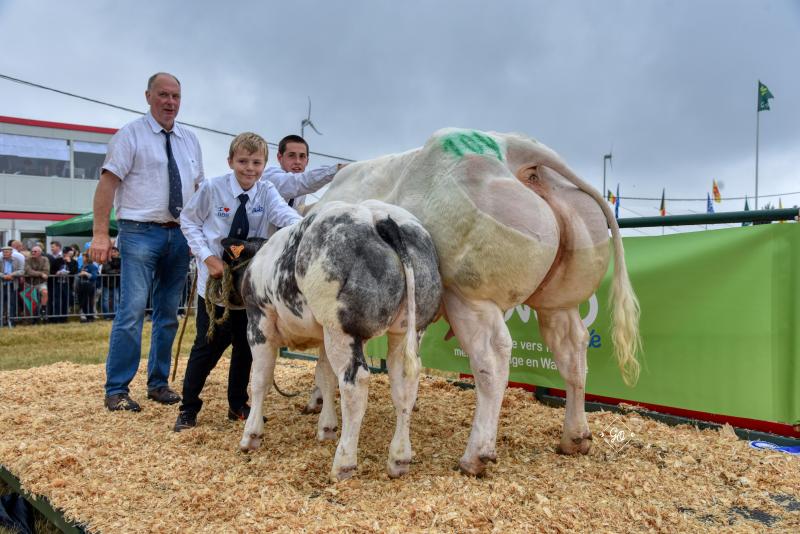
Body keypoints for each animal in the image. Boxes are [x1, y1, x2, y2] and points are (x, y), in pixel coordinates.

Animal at [231, 200, 444, 482]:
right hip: (407, 329)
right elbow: (325, 378)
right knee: (404, 383)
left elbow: (260, 380)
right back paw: (399, 458)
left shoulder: (259, 320)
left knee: (356, 383)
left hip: (343, 330)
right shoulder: (323, 336)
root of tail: (380, 218)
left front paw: (251, 435)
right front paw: (327, 428)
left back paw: (344, 462)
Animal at [310, 129, 640, 478]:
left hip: (470, 297)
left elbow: (326, 366)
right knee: (572, 351)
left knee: (492, 359)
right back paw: (575, 438)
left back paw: (475, 455)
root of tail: (516, 149)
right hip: (559, 303)